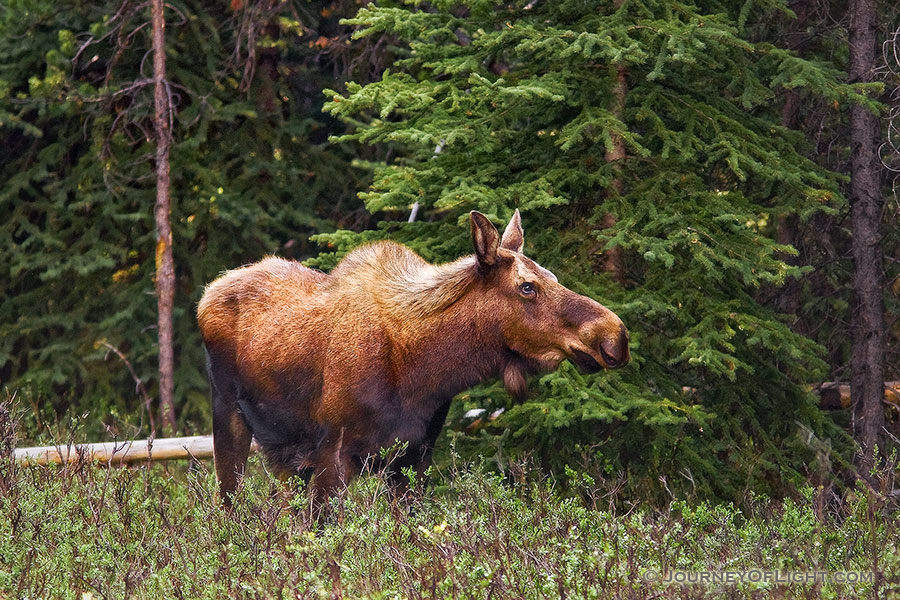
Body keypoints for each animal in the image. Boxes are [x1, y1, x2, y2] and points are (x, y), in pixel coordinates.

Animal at [200, 211, 628, 506]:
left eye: (553, 276)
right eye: (527, 286)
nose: (615, 336)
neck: (425, 373)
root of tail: (207, 293)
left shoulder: (413, 459)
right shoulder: (333, 454)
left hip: (283, 454)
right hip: (229, 416)